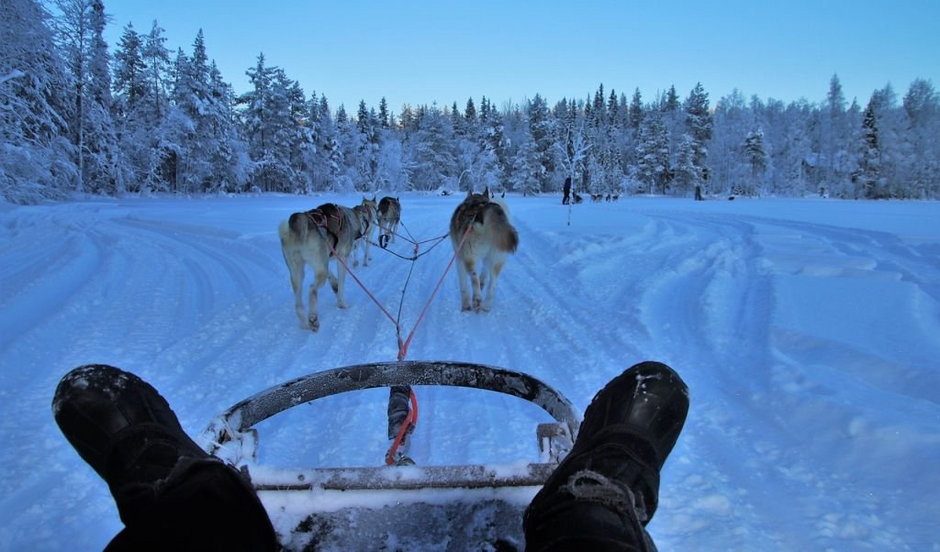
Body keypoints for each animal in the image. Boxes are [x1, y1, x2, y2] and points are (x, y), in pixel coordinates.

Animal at [278, 203, 362, 332]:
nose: (361, 234)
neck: (349, 218)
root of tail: (300, 220)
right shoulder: (342, 258)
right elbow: (341, 284)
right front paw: (342, 304)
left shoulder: (326, 260)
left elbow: (333, 278)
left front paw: (334, 285)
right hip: (320, 270)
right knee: (312, 289)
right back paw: (313, 318)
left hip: (298, 272)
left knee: (298, 305)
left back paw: (305, 323)